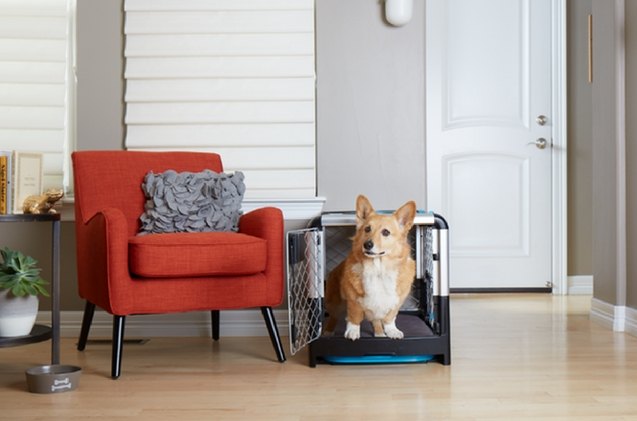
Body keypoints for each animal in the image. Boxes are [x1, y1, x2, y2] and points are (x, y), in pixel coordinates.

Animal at [322, 195, 418, 340]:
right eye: (367, 229)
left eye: (386, 232)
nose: (367, 245)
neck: (378, 268)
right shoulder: (353, 300)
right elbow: (354, 317)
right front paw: (353, 332)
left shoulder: (395, 302)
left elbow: (390, 318)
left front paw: (392, 331)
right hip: (335, 303)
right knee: (334, 317)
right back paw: (327, 332)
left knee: (376, 321)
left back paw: (379, 334)